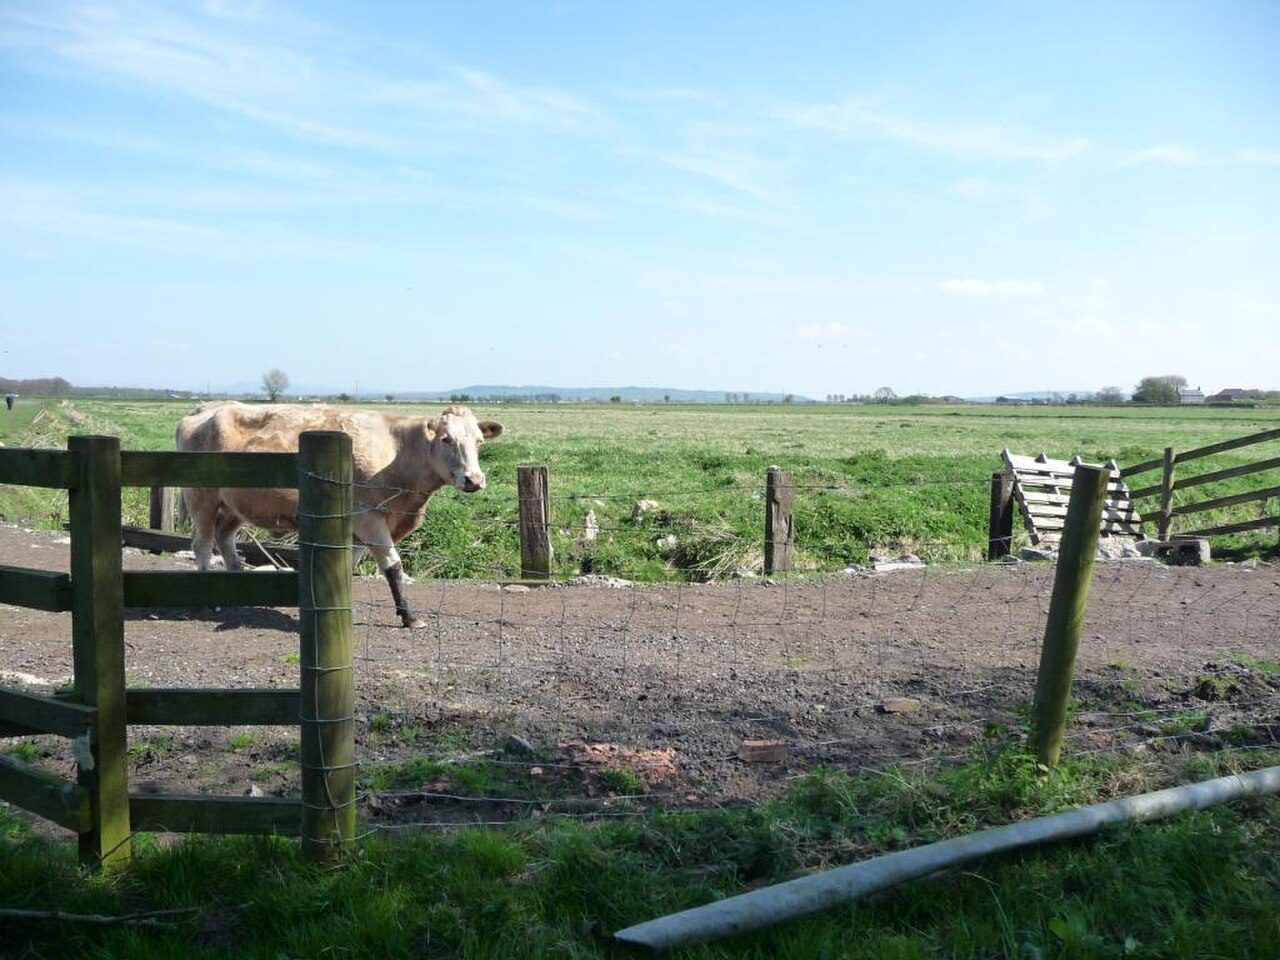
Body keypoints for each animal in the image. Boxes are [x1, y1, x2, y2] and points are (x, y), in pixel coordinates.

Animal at [176, 401, 502, 628]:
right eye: (446, 439)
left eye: (479, 441)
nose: (474, 479)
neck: (399, 451)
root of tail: (205, 409)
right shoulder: (368, 518)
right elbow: (393, 566)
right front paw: (410, 617)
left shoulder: (359, 529)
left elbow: (348, 568)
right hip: (201, 498)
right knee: (202, 544)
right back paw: (206, 599)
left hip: (235, 505)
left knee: (225, 539)